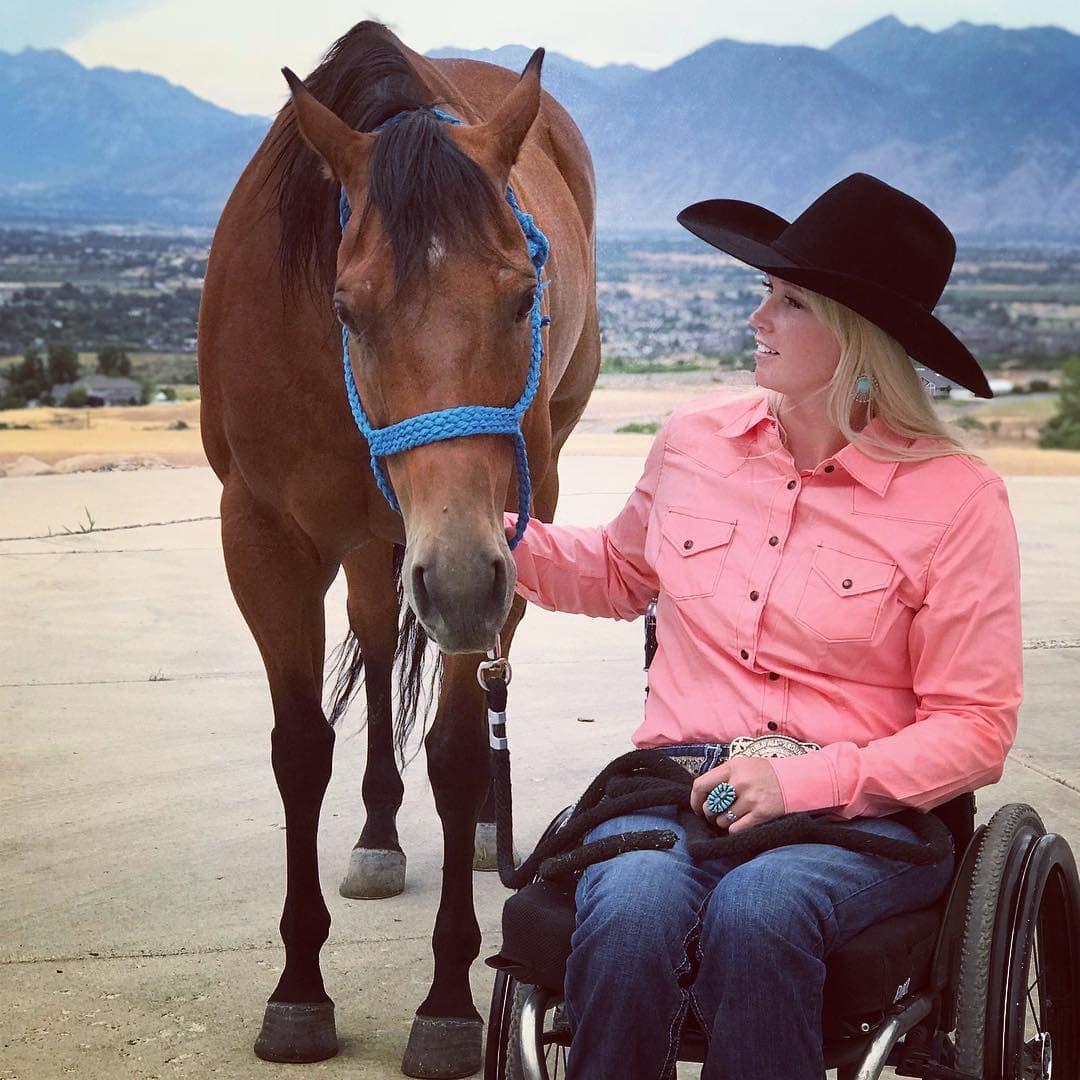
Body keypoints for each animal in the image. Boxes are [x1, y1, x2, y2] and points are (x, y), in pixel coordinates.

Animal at [195, 19, 600, 1080]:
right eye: (347, 307)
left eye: (524, 296)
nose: (456, 578)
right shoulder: (262, 535)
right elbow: (301, 748)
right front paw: (298, 989)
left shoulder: (495, 537)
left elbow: (457, 751)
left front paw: (449, 999)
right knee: (379, 639)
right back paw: (378, 828)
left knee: (487, 665)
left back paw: (495, 825)